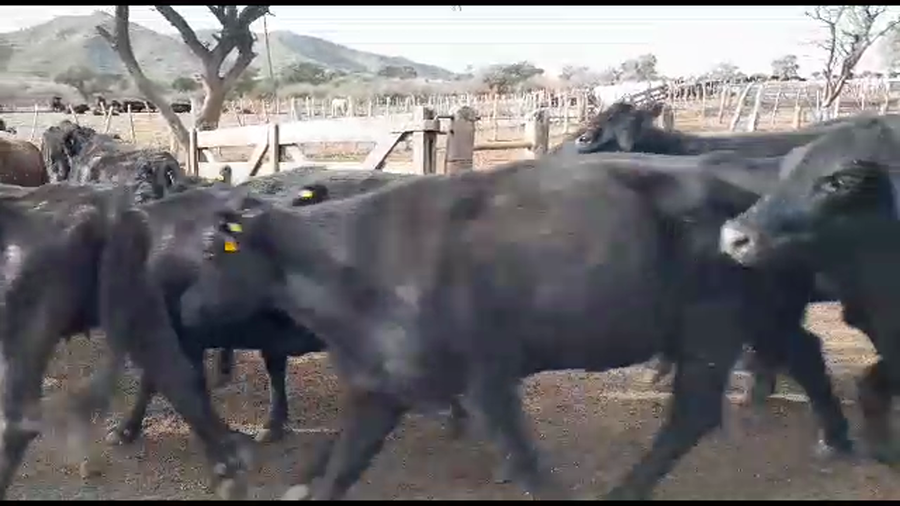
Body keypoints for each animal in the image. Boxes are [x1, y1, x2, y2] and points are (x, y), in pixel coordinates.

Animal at [0, 182, 252, 500]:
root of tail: (102, 211)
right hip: (142, 309)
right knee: (178, 377)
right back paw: (228, 469)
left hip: (26, 337)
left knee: (17, 421)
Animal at [179, 153, 852, 500]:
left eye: (213, 250)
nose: (184, 308)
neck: (353, 263)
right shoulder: (381, 385)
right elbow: (341, 463)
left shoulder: (488, 380)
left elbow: (524, 461)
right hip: (761, 316)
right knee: (806, 350)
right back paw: (837, 439)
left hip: (710, 330)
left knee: (692, 414)